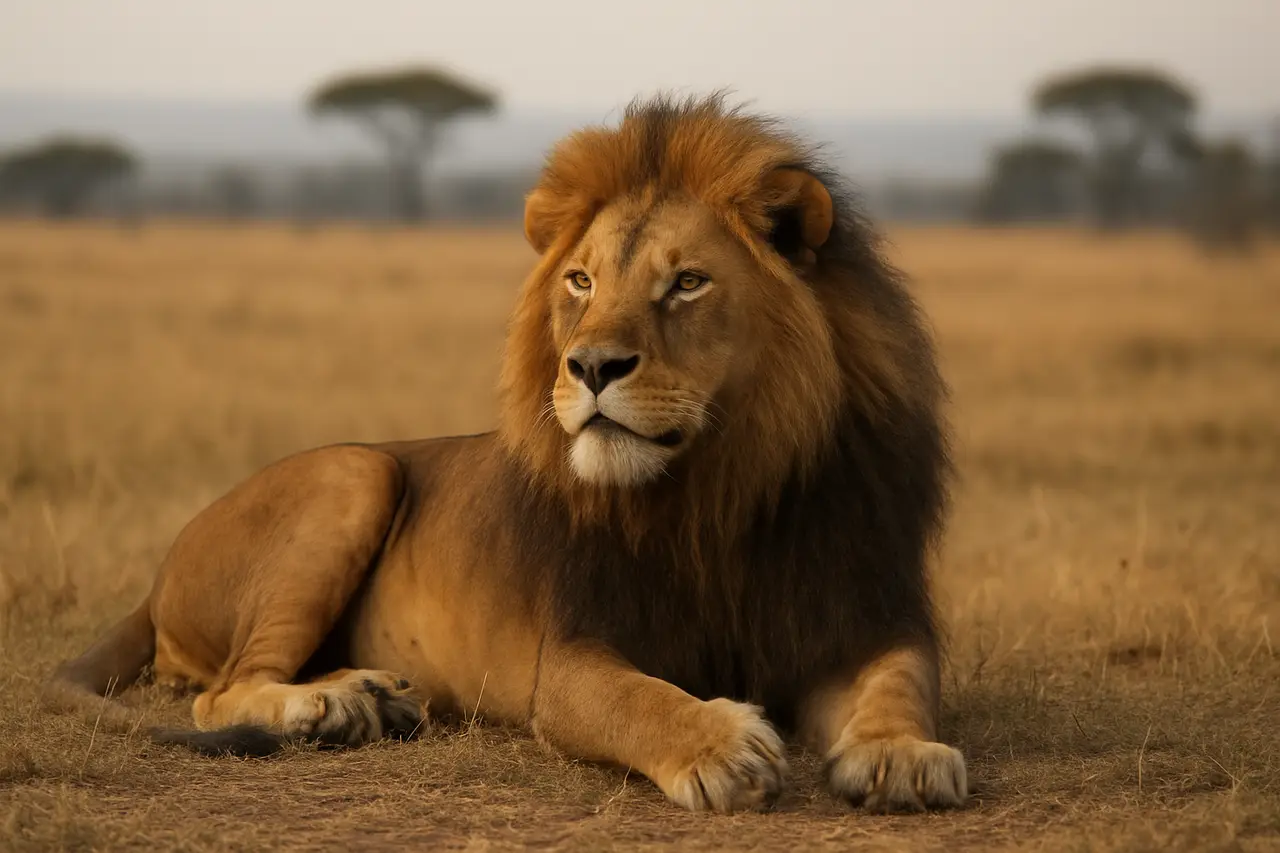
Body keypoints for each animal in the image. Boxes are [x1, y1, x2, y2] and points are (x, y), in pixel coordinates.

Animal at [52, 94, 966, 813]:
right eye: (581, 282)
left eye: (687, 283)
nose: (592, 366)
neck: (719, 490)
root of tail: (156, 579)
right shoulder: (566, 657)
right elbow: (637, 700)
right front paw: (722, 742)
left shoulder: (855, 611)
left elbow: (902, 678)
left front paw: (902, 754)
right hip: (355, 469)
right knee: (219, 694)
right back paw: (341, 705)